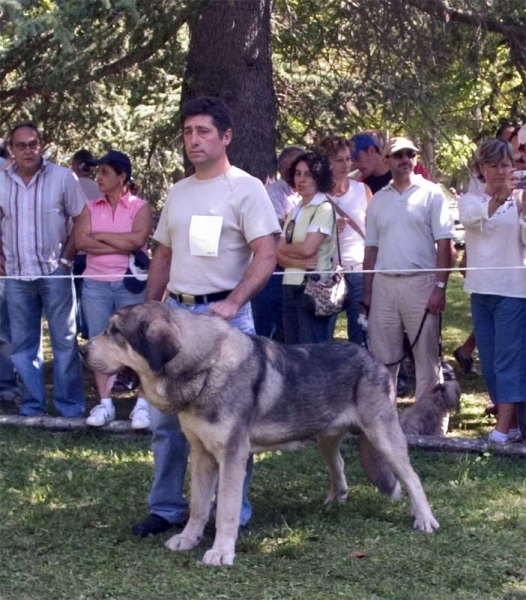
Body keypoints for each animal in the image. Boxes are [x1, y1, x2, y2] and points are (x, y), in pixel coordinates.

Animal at [79, 302, 442, 564]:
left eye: (115, 332)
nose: (82, 351)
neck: (205, 367)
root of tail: (372, 357)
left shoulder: (231, 457)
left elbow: (225, 509)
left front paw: (221, 552)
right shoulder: (201, 455)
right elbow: (198, 506)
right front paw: (188, 539)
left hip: (383, 437)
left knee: (412, 478)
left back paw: (424, 519)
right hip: (326, 439)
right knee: (339, 467)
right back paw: (333, 502)